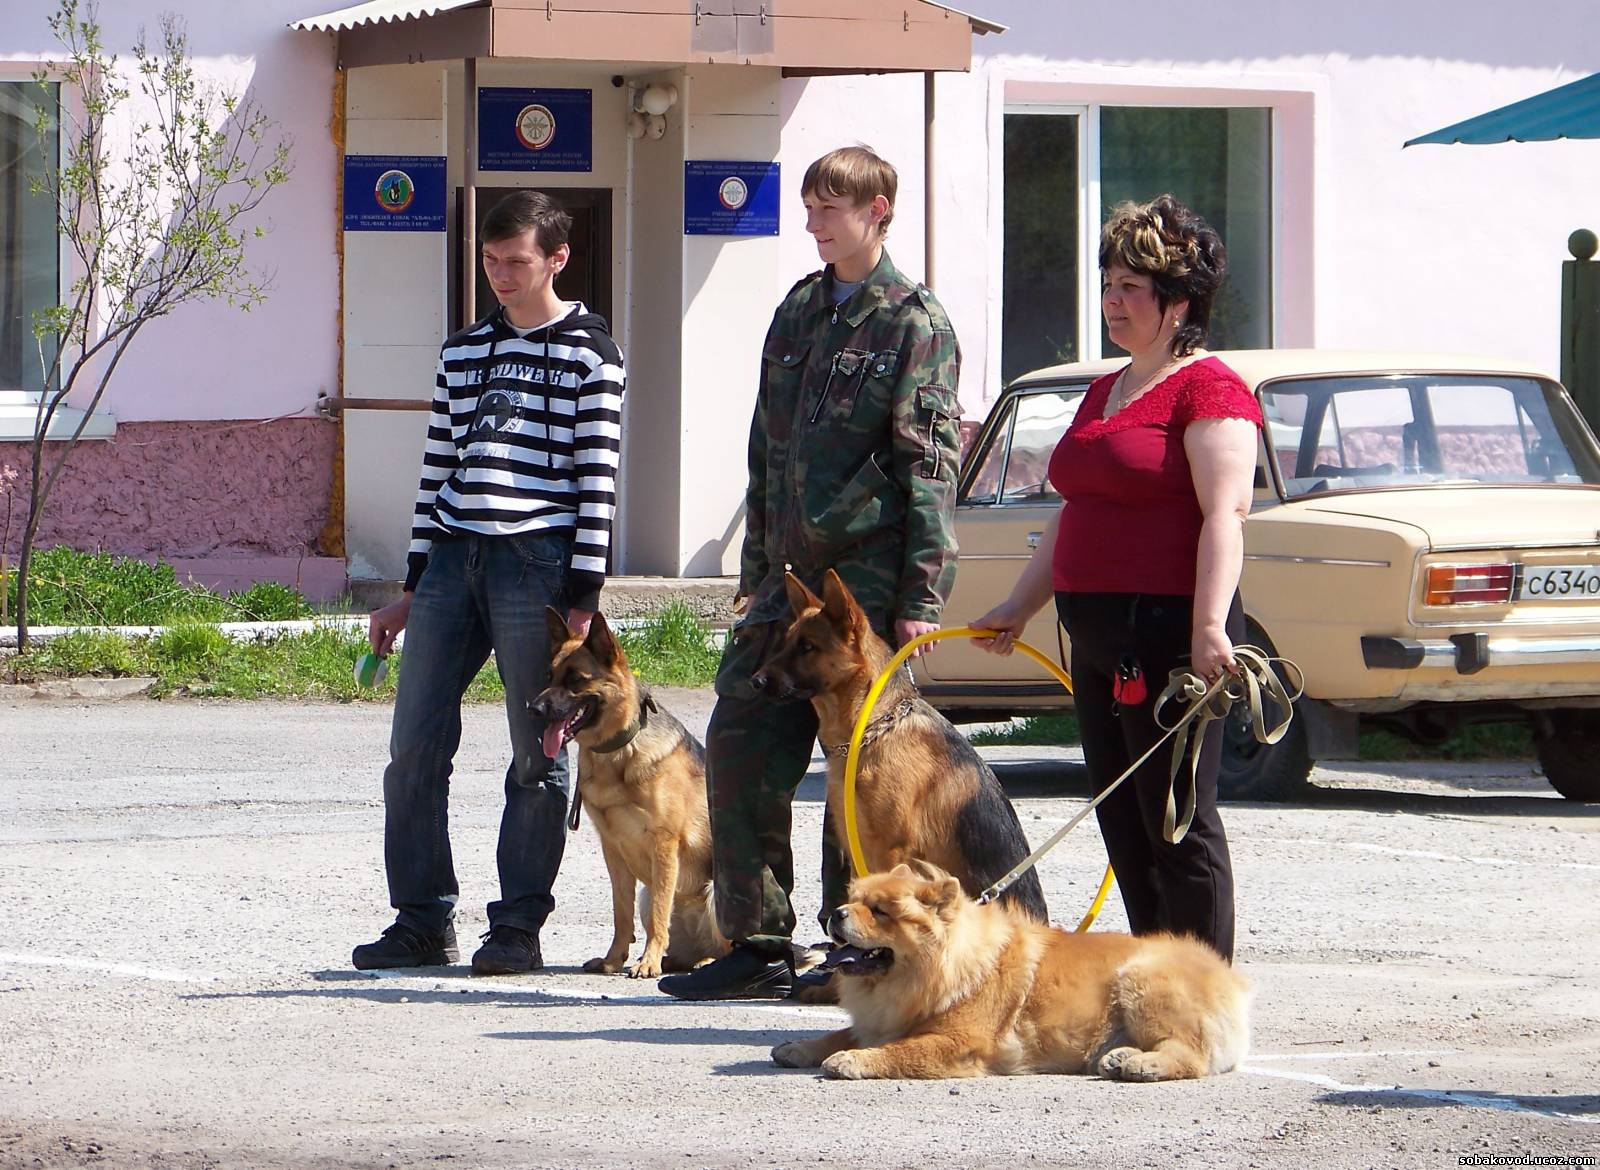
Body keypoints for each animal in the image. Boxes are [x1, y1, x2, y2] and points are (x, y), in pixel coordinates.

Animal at [531, 611, 728, 978]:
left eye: (576, 680)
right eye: (549, 676)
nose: (532, 708)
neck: (618, 750)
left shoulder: (664, 845)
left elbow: (660, 915)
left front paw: (648, 962)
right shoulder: (613, 850)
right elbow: (621, 914)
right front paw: (614, 959)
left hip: (715, 893)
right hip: (647, 895)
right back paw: (675, 960)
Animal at [771, 861, 1250, 1080]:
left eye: (880, 912)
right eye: (853, 899)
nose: (836, 913)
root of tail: (1230, 978)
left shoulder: (957, 1039)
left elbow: (898, 1051)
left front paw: (852, 1061)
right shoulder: (884, 1018)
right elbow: (844, 1033)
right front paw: (800, 1047)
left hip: (1142, 985)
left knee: (1189, 1054)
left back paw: (1141, 1065)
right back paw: (1120, 1057)